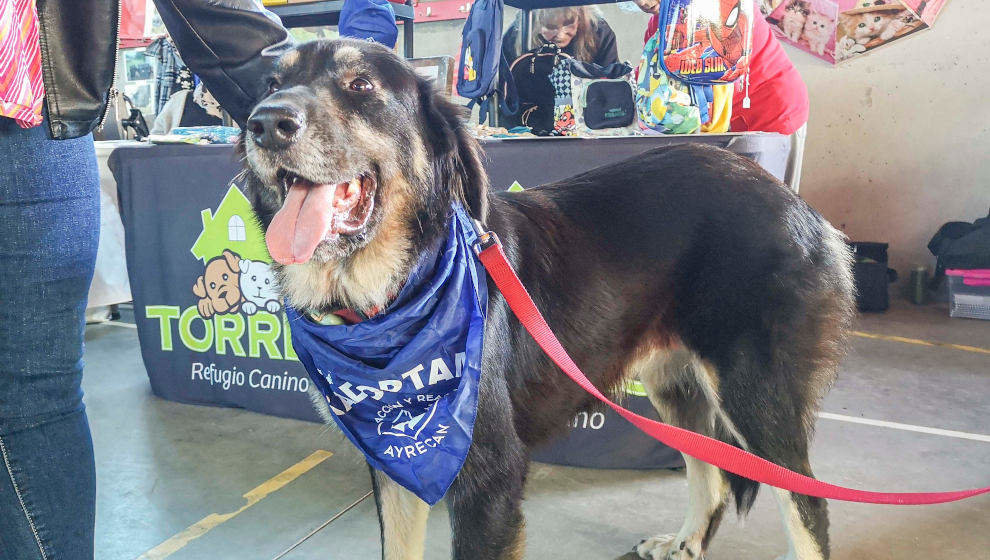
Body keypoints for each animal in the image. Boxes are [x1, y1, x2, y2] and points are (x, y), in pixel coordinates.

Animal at [238, 40, 852, 560]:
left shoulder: (490, 480)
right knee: (715, 475)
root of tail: (795, 203)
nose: (264, 123)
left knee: (808, 505)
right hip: (678, 388)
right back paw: (685, 543)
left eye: (360, 84)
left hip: (756, 398)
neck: (392, 297)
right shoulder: (393, 469)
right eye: (272, 82)